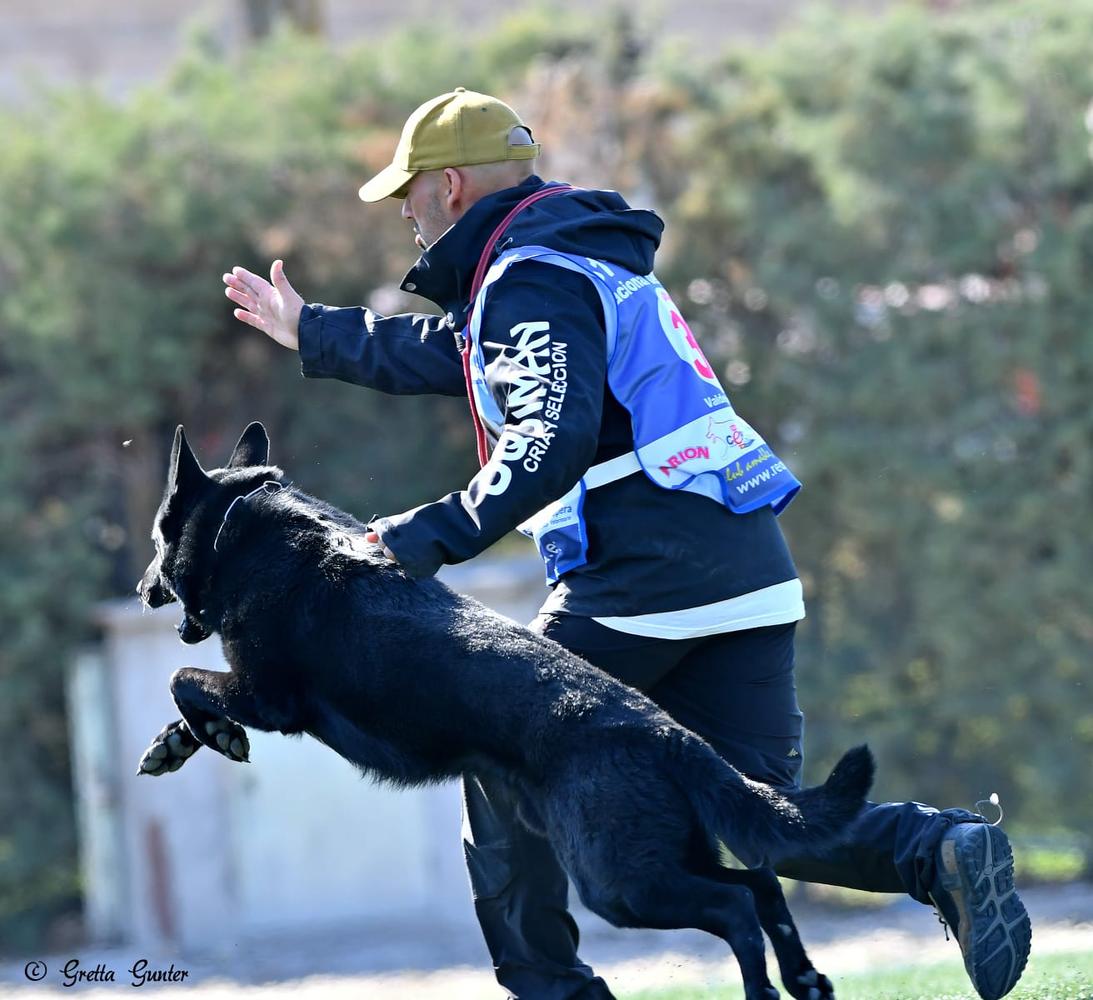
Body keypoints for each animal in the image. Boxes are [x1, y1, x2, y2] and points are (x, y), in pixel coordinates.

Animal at [136, 422, 874, 1000]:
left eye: (154, 541)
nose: (143, 588)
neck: (240, 527)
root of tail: (667, 734)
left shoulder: (268, 697)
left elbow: (182, 678)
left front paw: (212, 732)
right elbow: (186, 691)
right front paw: (179, 742)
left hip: (620, 883)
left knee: (737, 907)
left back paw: (763, 990)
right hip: (658, 858)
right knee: (762, 886)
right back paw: (804, 980)